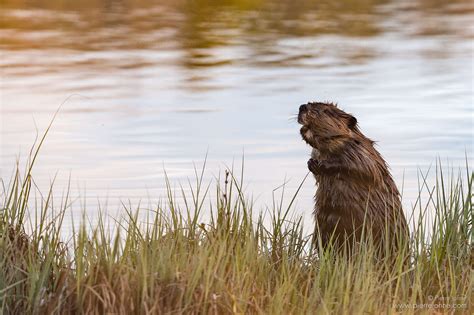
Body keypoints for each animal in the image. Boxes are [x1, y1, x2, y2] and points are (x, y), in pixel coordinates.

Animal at [298, 102, 410, 256]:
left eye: (326, 111)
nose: (302, 107)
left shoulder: (361, 151)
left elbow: (364, 169)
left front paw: (321, 164)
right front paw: (311, 163)